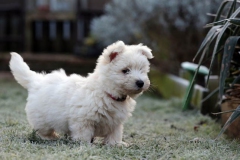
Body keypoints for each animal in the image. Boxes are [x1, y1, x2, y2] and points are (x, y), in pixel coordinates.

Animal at [9, 40, 154, 146]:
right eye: (125, 71)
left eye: (142, 70)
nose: (141, 82)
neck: (106, 91)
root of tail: (37, 81)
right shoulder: (83, 120)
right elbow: (83, 134)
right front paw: (84, 144)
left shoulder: (115, 122)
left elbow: (115, 134)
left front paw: (116, 144)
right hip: (42, 119)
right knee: (43, 131)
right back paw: (51, 137)